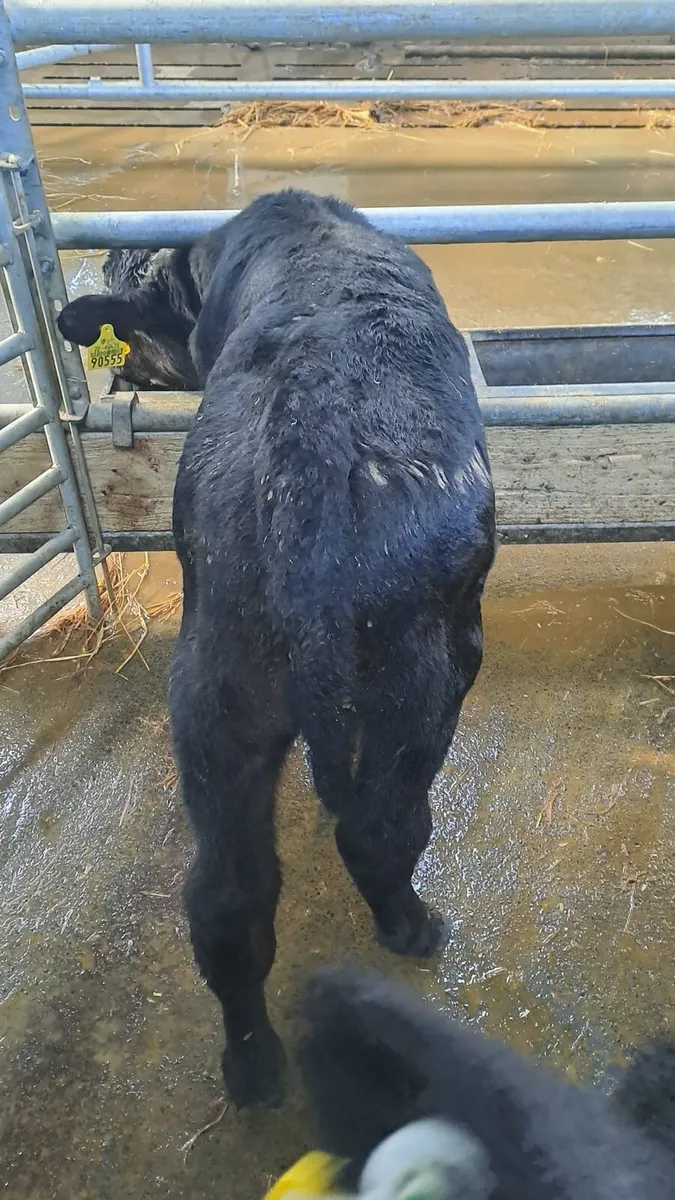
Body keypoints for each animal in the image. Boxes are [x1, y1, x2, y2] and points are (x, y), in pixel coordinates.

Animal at [58, 189, 496, 1107]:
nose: (124, 380)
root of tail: (310, 448)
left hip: (214, 693)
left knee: (226, 901)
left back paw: (253, 1067)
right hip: (428, 675)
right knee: (380, 827)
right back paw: (414, 928)